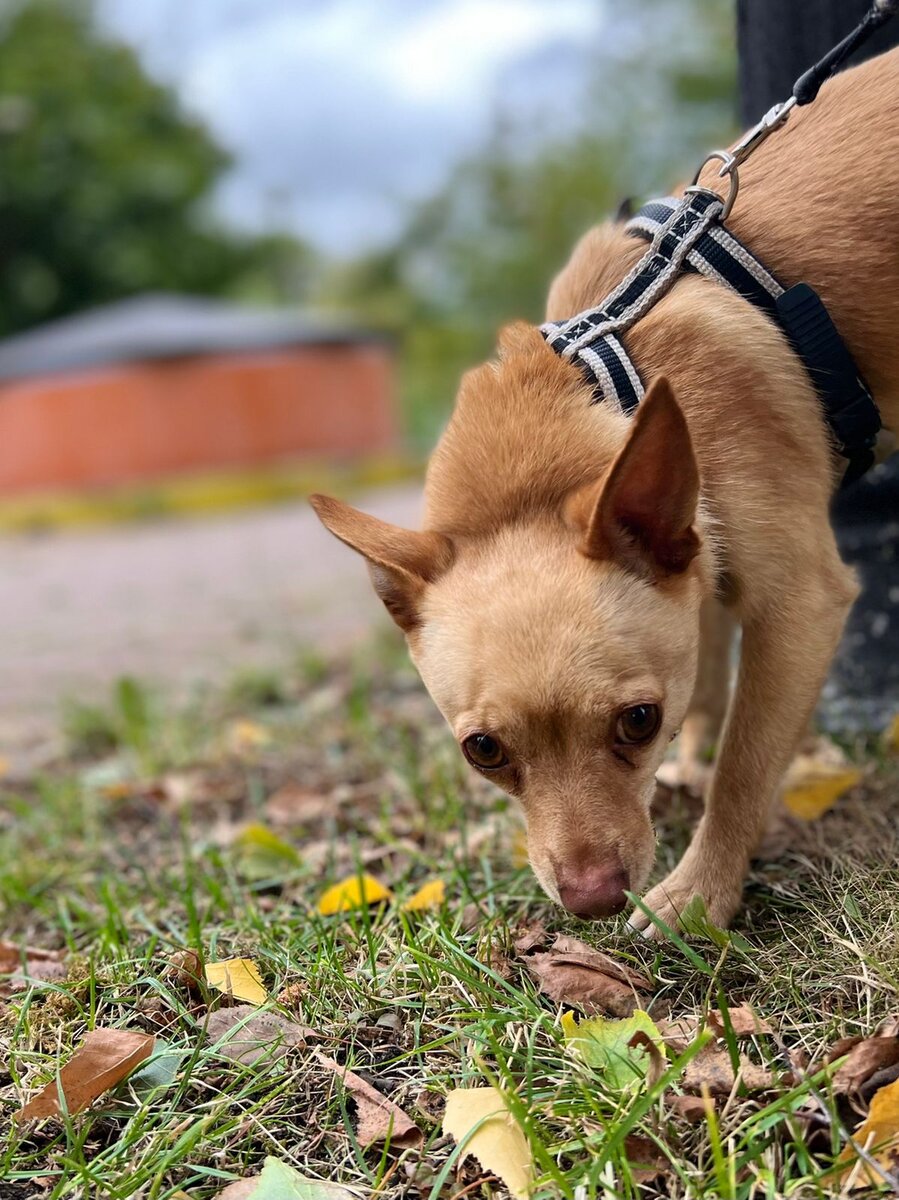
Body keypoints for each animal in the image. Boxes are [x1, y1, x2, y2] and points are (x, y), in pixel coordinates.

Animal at [309, 51, 897, 931]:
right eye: (483, 752)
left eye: (637, 722)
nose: (591, 901)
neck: (610, 375)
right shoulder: (701, 557)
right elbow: (707, 662)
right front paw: (692, 761)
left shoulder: (801, 604)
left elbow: (745, 766)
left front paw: (698, 892)